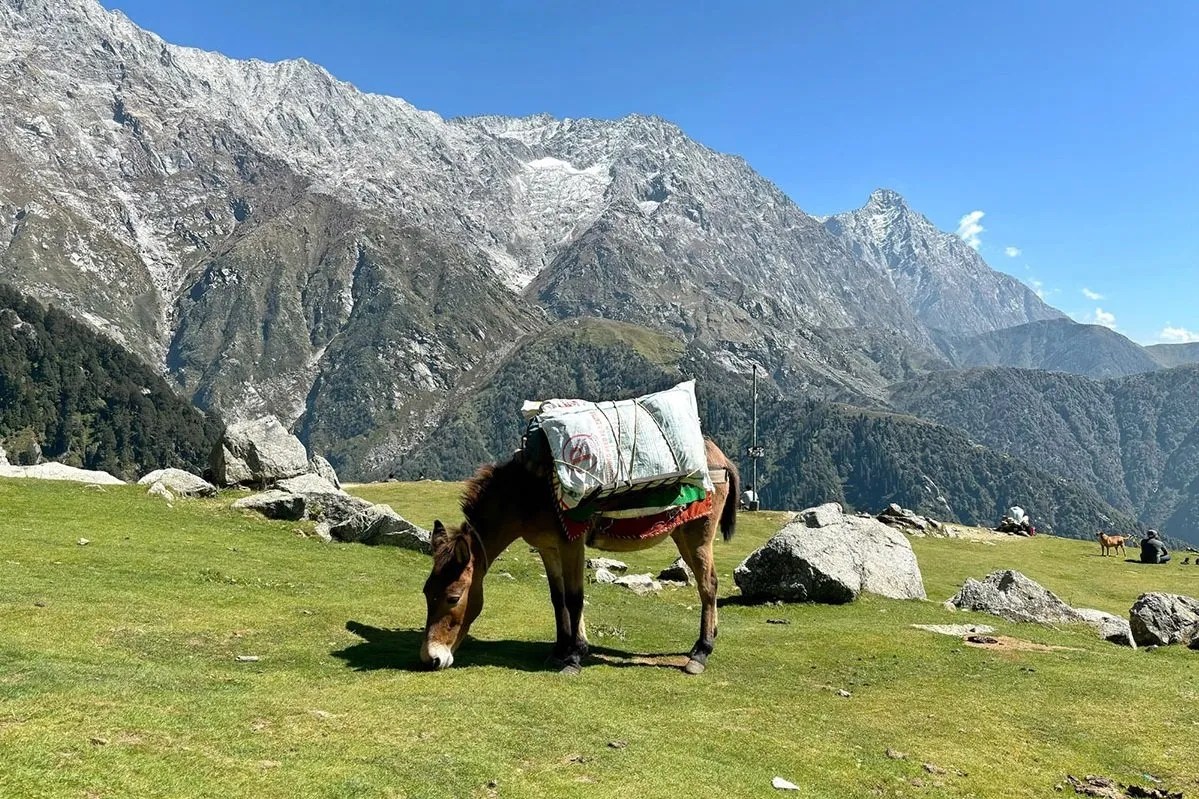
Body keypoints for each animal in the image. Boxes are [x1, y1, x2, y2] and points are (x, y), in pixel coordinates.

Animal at [422, 439, 738, 667]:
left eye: (453, 598)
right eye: (426, 593)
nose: (431, 658)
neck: (527, 493)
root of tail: (721, 457)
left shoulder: (570, 544)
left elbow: (574, 598)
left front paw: (573, 656)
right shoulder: (548, 548)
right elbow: (557, 598)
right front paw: (562, 649)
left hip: (697, 536)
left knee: (708, 585)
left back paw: (701, 652)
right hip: (683, 535)